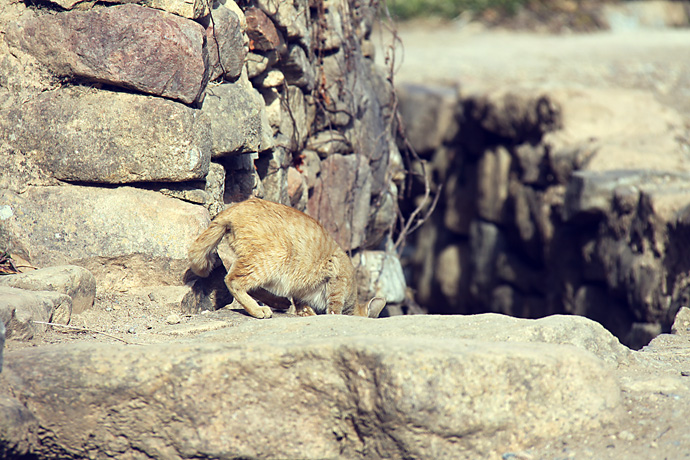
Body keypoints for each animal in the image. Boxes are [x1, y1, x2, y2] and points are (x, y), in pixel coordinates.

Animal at [185, 198, 384, 320]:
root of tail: (234, 208)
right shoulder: (338, 278)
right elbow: (334, 307)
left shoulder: (301, 293)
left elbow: (303, 306)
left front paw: (307, 314)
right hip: (274, 256)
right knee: (233, 280)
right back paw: (258, 309)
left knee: (249, 284)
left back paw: (278, 302)